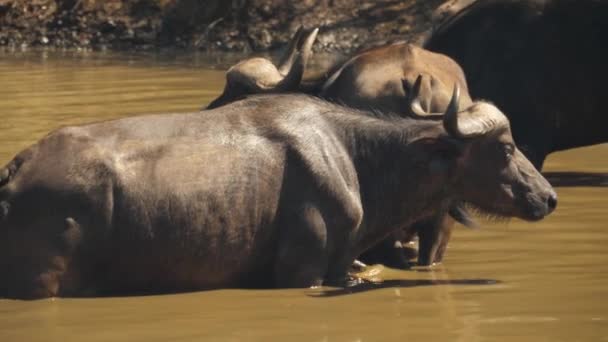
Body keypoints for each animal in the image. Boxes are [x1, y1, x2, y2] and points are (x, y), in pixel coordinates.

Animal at [0, 91, 556, 300]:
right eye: (505, 147)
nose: (548, 197)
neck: (353, 159)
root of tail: (17, 167)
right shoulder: (300, 270)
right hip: (40, 283)